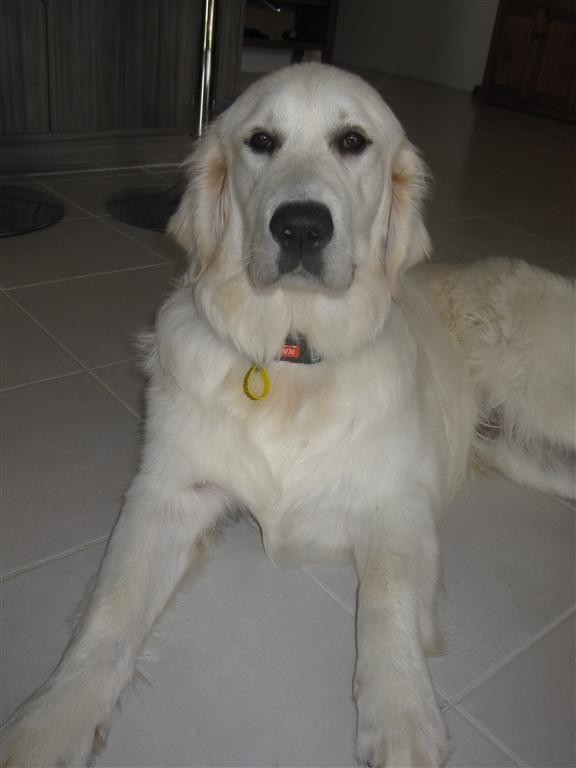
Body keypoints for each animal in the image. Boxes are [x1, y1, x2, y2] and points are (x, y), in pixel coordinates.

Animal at [2, 63, 574, 768]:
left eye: (353, 140)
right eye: (261, 141)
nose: (301, 227)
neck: (292, 358)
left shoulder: (398, 507)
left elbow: (383, 599)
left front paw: (402, 715)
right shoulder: (168, 494)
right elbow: (111, 606)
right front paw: (55, 720)